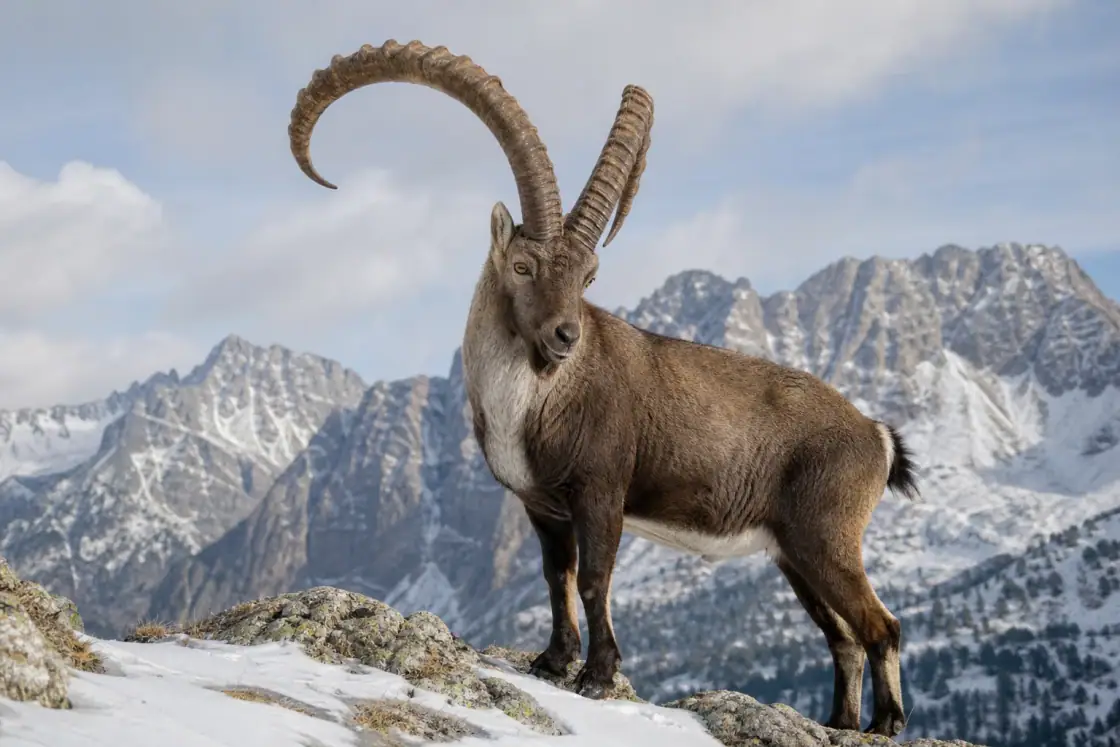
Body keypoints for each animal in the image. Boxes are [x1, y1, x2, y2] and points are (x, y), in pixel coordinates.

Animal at [287, 39, 920, 738]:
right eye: (523, 265)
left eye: (588, 277)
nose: (565, 335)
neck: (532, 399)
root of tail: (876, 435)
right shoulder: (542, 507)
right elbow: (555, 577)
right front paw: (553, 661)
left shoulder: (601, 491)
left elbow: (594, 579)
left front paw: (596, 674)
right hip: (793, 555)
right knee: (842, 636)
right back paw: (840, 723)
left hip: (827, 538)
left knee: (881, 626)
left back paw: (886, 723)